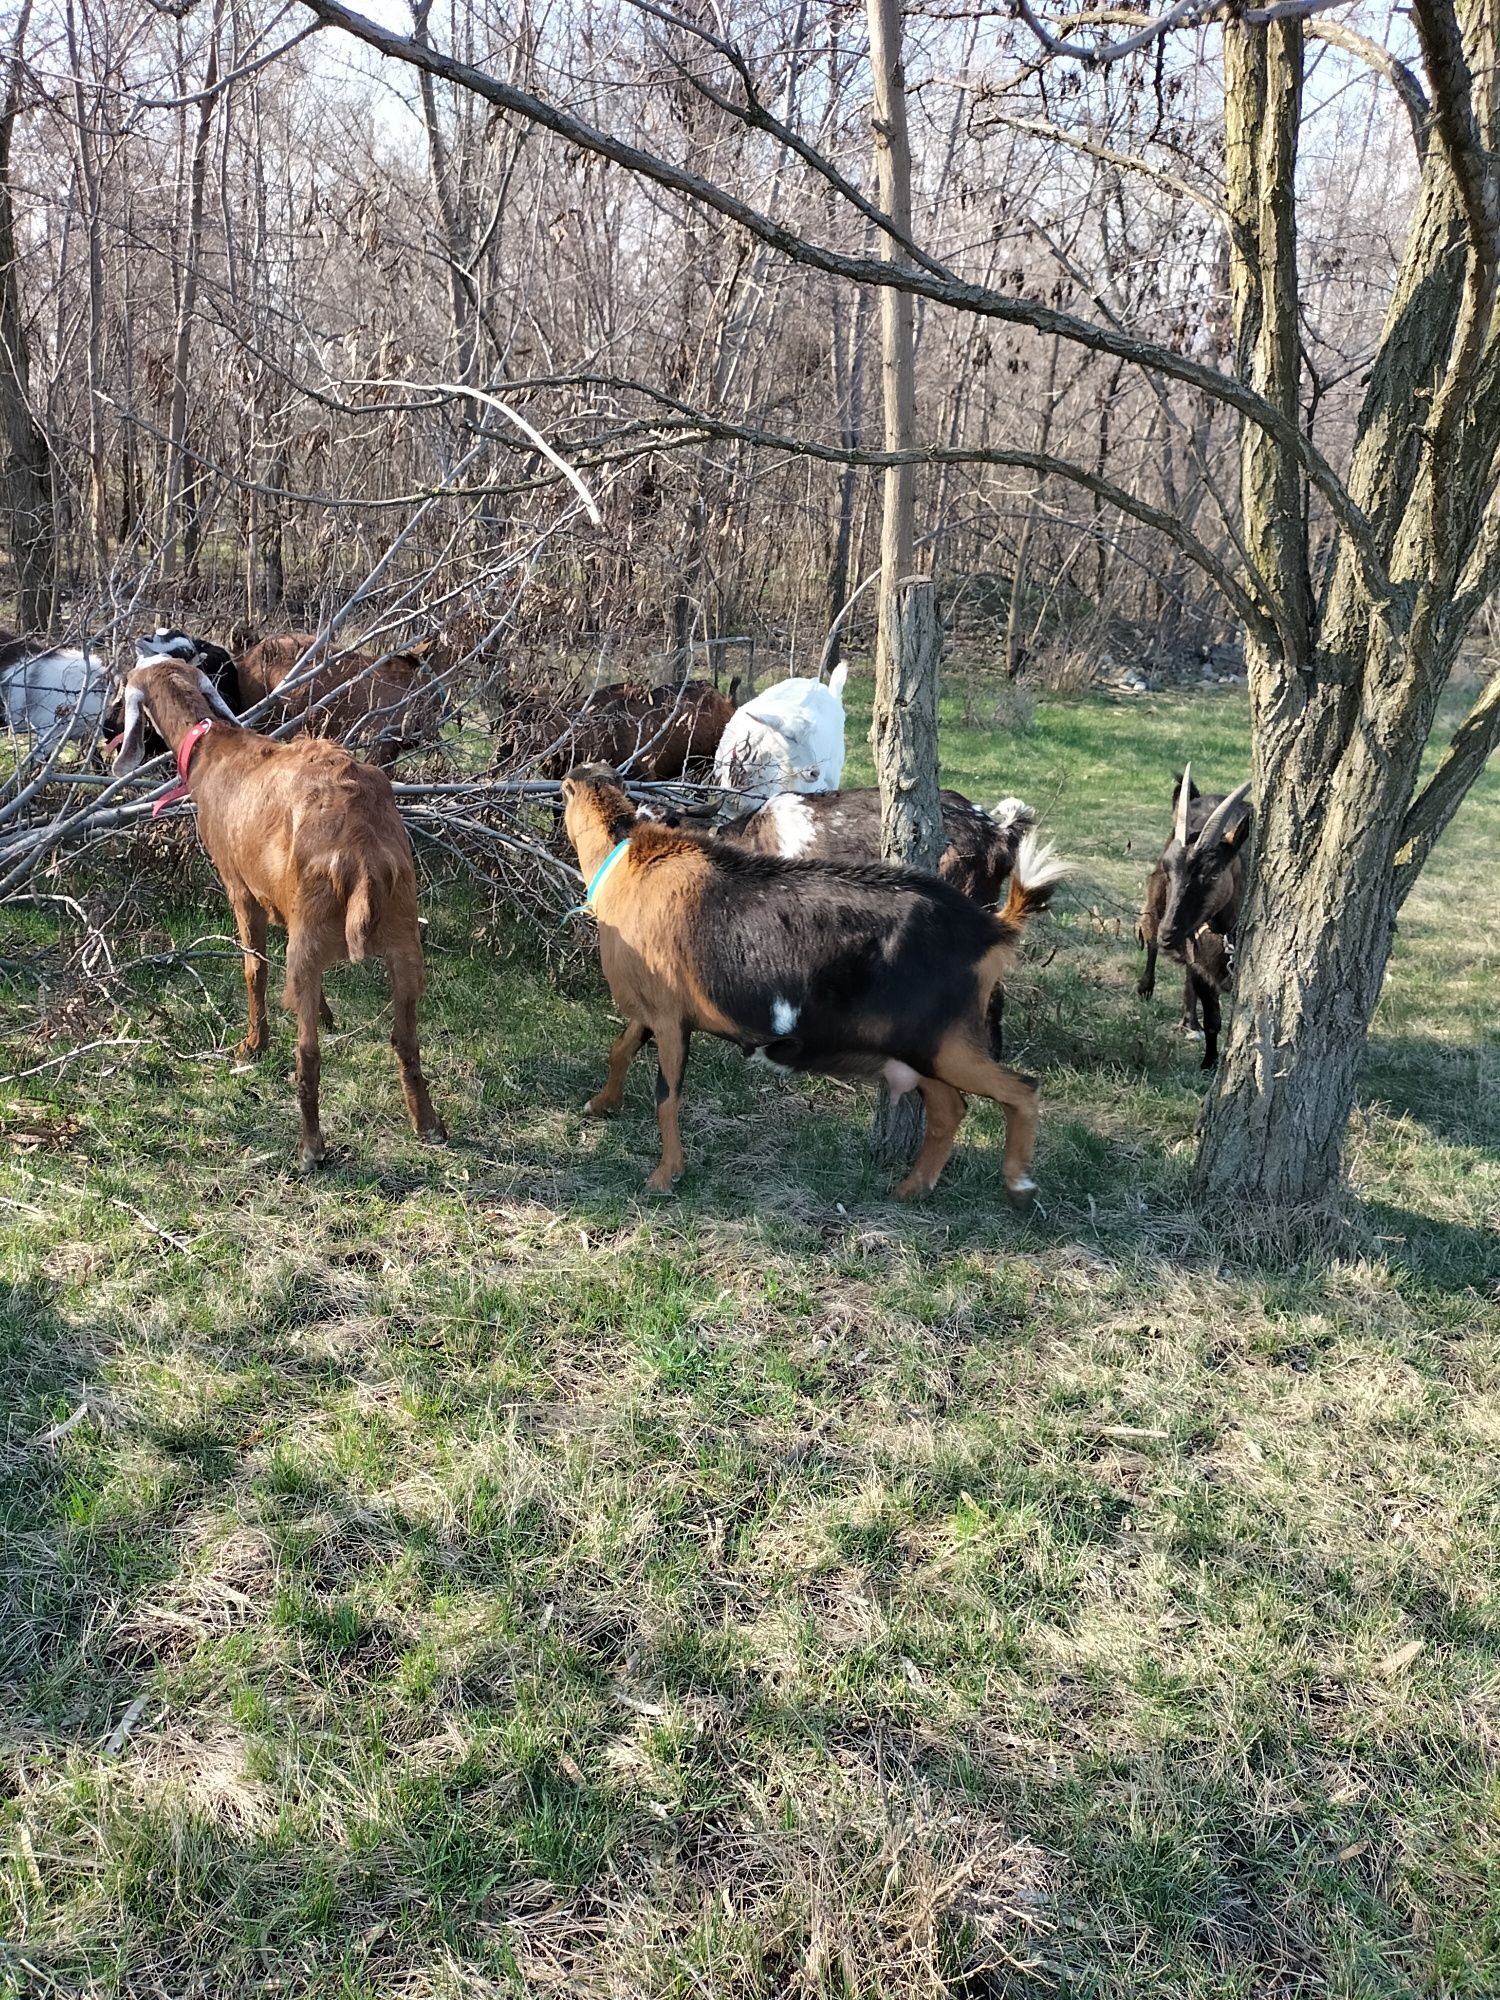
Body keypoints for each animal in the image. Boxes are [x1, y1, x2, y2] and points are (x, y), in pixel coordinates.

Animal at [111, 656, 444, 1168]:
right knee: (405, 1039)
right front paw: (328, 1014)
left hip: (307, 938)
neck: (212, 749)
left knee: (308, 1054)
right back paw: (427, 1125)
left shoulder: (240, 889)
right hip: (404, 932)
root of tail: (363, 849)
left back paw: (310, 1147)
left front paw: (253, 1044)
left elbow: (254, 969)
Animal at [1136, 764, 1256, 1072]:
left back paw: (1190, 1021)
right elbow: (1214, 1020)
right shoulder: (1202, 968)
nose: (1169, 934)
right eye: (1170, 869)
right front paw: (1209, 1063)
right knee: (1149, 935)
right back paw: (1146, 987)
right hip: (1156, 903)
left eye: (1213, 873)